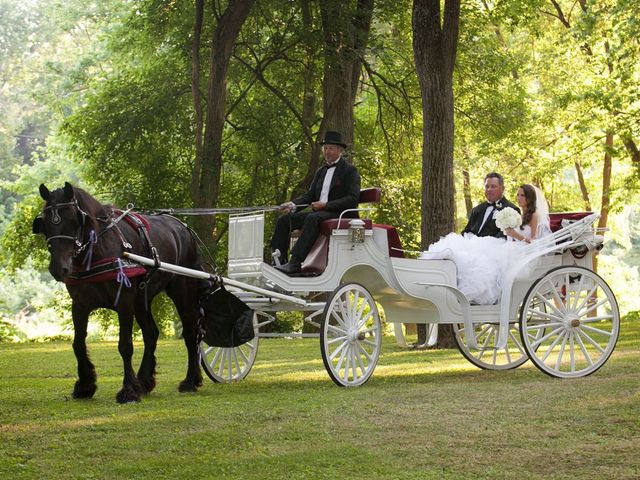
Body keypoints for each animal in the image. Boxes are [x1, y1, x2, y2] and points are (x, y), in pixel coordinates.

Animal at [32, 182, 205, 404]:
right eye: (45, 223)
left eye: (73, 220)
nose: (58, 269)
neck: (98, 250)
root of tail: (182, 226)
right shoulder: (79, 305)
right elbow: (78, 343)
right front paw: (85, 386)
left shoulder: (124, 302)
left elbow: (125, 345)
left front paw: (128, 390)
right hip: (142, 298)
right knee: (151, 334)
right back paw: (144, 381)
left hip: (182, 288)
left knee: (191, 331)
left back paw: (190, 381)